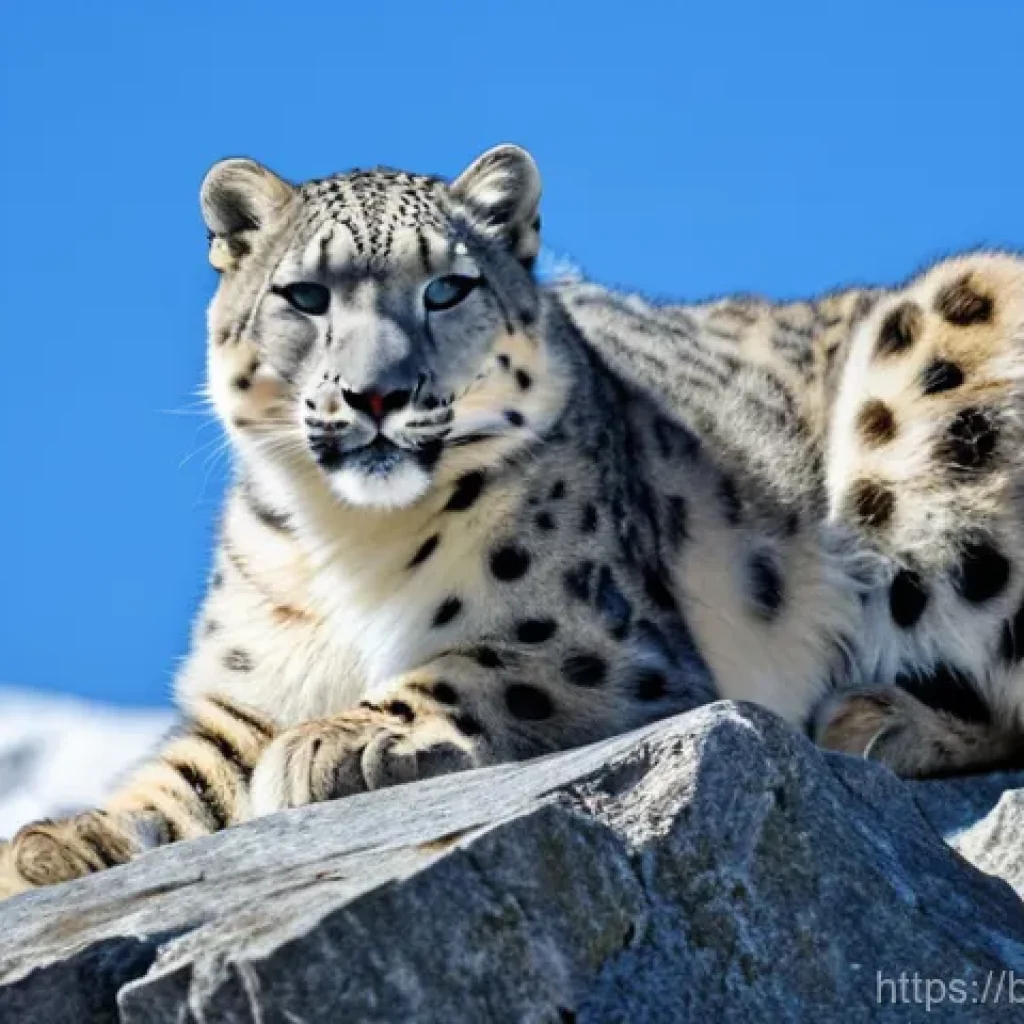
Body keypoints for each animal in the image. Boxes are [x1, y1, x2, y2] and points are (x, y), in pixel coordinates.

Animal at [5, 143, 1024, 898]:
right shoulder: (242, 693)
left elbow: (473, 668)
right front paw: (54, 844)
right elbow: (179, 779)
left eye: (446, 288)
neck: (347, 548)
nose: (377, 394)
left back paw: (877, 721)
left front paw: (337, 741)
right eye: (306, 295)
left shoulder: (602, 643)